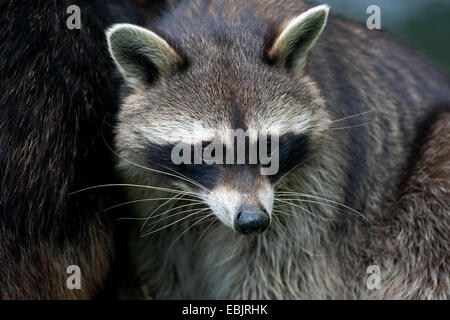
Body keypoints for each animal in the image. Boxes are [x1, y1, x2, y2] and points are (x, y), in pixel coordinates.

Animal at [106, 0, 450, 298]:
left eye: (268, 146)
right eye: (209, 151)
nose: (252, 221)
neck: (223, 19)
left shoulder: (316, 190)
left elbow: (283, 279)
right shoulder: (153, 201)